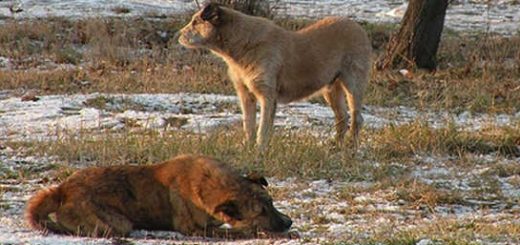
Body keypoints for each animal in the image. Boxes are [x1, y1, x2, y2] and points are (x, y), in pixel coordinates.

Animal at [25, 155, 292, 237]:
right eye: (261, 212)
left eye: (272, 203)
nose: (289, 222)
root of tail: (62, 189)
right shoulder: (193, 229)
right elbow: (236, 231)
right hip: (116, 222)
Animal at [180, 3, 374, 149]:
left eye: (196, 22)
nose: (178, 35)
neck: (243, 45)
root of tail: (358, 27)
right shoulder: (246, 95)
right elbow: (248, 125)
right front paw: (248, 148)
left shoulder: (267, 95)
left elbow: (263, 128)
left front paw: (259, 152)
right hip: (331, 88)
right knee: (342, 118)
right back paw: (335, 147)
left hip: (353, 83)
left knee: (357, 118)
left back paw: (350, 147)